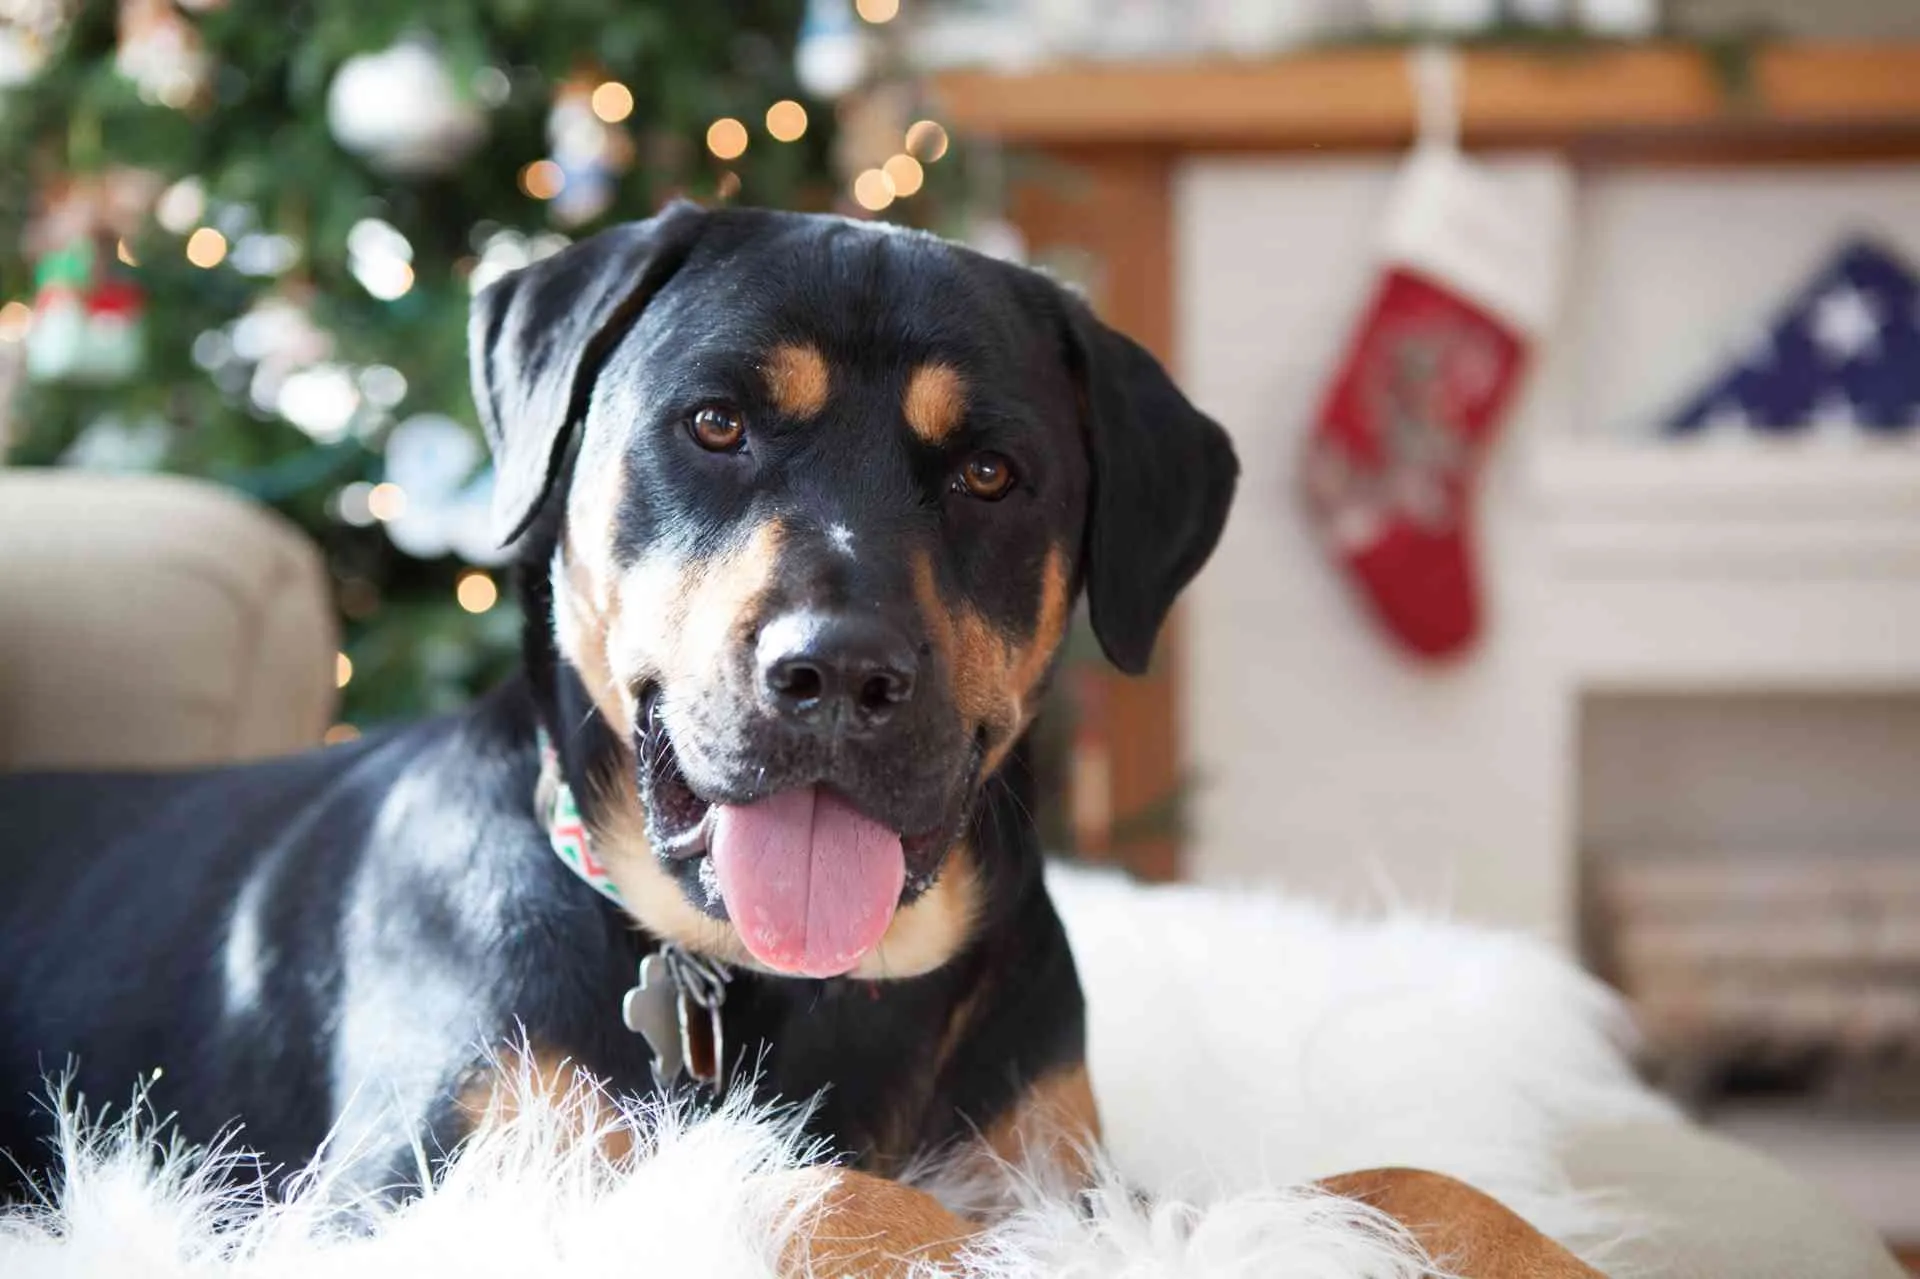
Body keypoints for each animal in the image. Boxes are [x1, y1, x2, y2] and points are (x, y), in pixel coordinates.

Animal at [3, 204, 1605, 1267]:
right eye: (714, 423)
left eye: (991, 470)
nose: (835, 672)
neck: (805, 987)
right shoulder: (421, 1192)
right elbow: (812, 1184)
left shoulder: (1059, 1160)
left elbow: (1399, 1177)